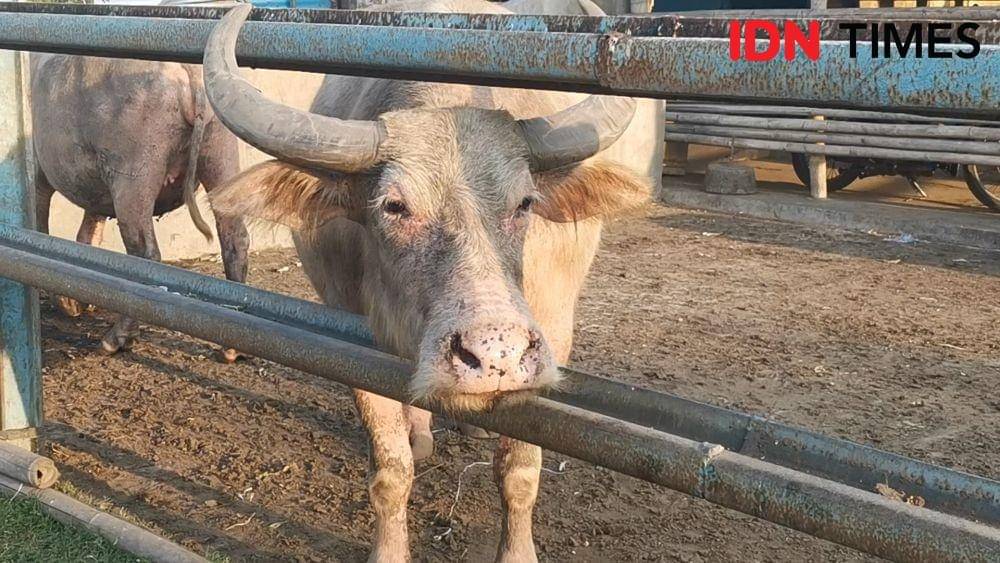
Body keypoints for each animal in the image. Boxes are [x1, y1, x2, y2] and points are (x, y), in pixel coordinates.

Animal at [30, 54, 250, 360]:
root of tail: (191, 75)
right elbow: (88, 230)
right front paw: (81, 304)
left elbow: (42, 224)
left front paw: (68, 305)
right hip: (220, 149)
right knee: (234, 236)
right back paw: (230, 351)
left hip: (135, 165)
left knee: (145, 253)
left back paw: (112, 341)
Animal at [203, 1, 662, 560]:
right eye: (394, 206)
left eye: (525, 202)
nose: (495, 354)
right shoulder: (353, 341)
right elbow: (390, 471)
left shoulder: (554, 331)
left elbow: (519, 474)